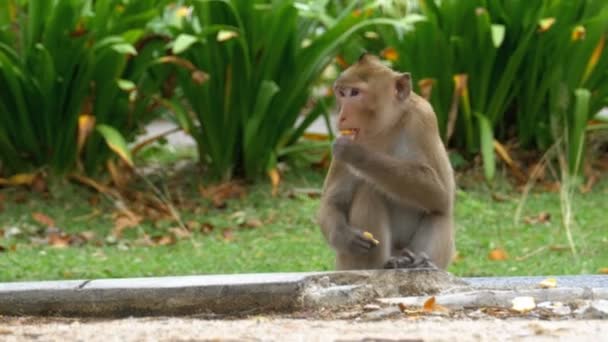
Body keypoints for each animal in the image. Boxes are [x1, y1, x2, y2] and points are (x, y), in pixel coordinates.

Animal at [318, 53, 452, 272]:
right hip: (347, 264)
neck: (387, 127)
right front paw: (345, 237)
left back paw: (420, 263)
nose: (341, 116)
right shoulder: (342, 135)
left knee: (438, 213)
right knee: (369, 190)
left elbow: (440, 194)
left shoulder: (424, 119)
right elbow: (332, 202)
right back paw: (387, 265)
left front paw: (357, 155)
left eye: (354, 93)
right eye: (341, 93)